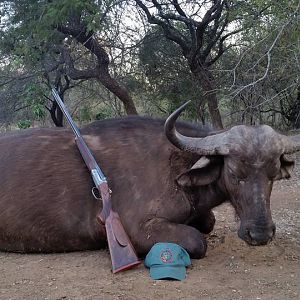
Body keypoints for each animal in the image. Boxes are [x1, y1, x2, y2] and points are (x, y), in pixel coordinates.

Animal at [0, 103, 298, 258]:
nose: (260, 233)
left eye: (273, 174)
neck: (174, 167)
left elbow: (208, 221)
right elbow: (197, 241)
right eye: (236, 174)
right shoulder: (138, 230)